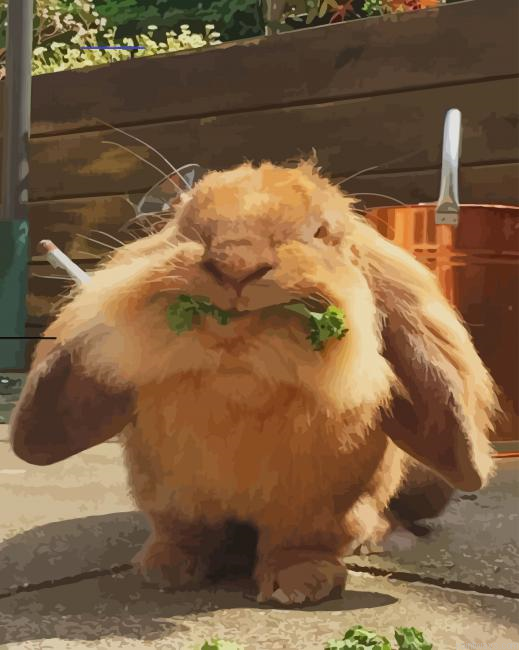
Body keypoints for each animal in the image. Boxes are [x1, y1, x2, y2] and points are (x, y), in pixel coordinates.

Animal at [10, 159, 499, 605]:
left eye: (322, 232)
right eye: (184, 222)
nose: (236, 264)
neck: (242, 381)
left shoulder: (321, 503)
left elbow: (300, 541)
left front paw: (300, 584)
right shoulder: (169, 492)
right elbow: (184, 530)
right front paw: (165, 568)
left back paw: (382, 538)